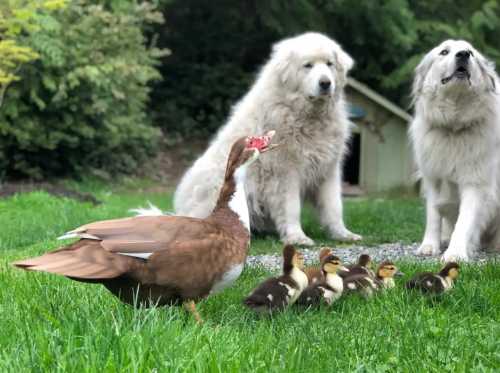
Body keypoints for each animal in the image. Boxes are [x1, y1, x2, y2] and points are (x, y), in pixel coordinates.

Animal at [174, 32, 362, 246]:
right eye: (308, 65)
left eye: (329, 64)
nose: (325, 83)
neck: (305, 114)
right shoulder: (285, 172)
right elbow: (291, 207)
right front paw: (297, 237)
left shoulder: (328, 170)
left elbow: (334, 207)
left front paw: (343, 234)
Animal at [410, 39, 500, 260]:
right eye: (444, 52)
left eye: (471, 53)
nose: (463, 55)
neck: (454, 126)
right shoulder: (433, 179)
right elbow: (433, 216)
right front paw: (429, 246)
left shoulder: (475, 183)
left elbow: (464, 221)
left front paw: (456, 253)